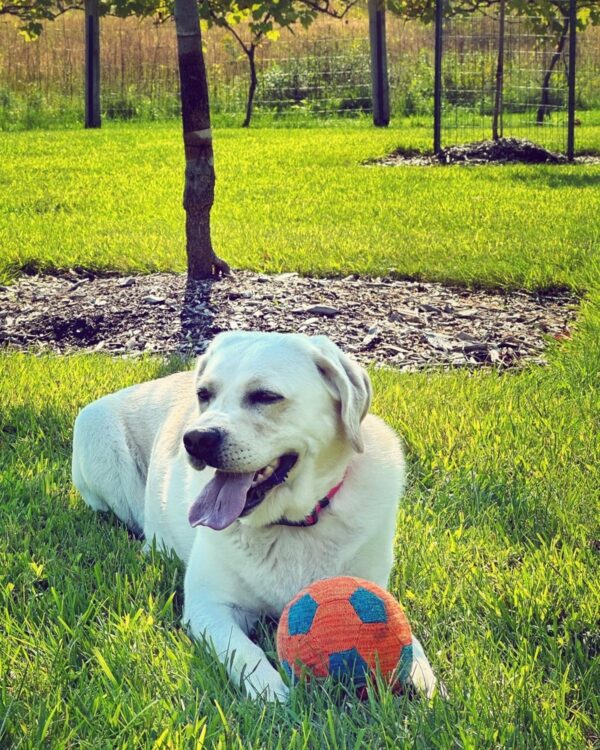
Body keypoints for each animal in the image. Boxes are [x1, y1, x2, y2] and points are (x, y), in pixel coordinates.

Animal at [72, 332, 438, 704]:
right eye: (203, 395)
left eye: (265, 396)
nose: (195, 440)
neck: (290, 526)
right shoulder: (209, 607)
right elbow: (245, 652)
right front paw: (273, 693)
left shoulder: (373, 585)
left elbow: (406, 634)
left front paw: (420, 674)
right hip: (99, 442)